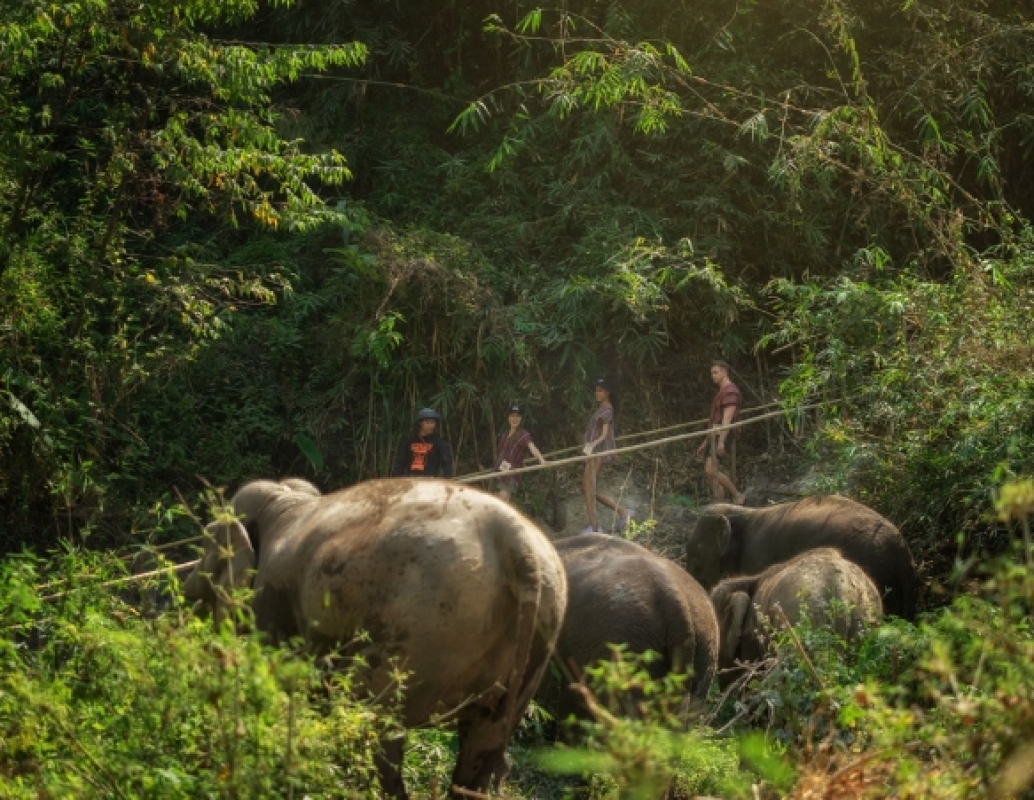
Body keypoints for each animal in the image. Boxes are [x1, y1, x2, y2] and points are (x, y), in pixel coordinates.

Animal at [182, 478, 567, 799]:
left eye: (204, 552)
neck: (285, 499)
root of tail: (516, 543)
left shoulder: (271, 600)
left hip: (421, 627)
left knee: (374, 726)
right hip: (531, 645)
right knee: (482, 745)